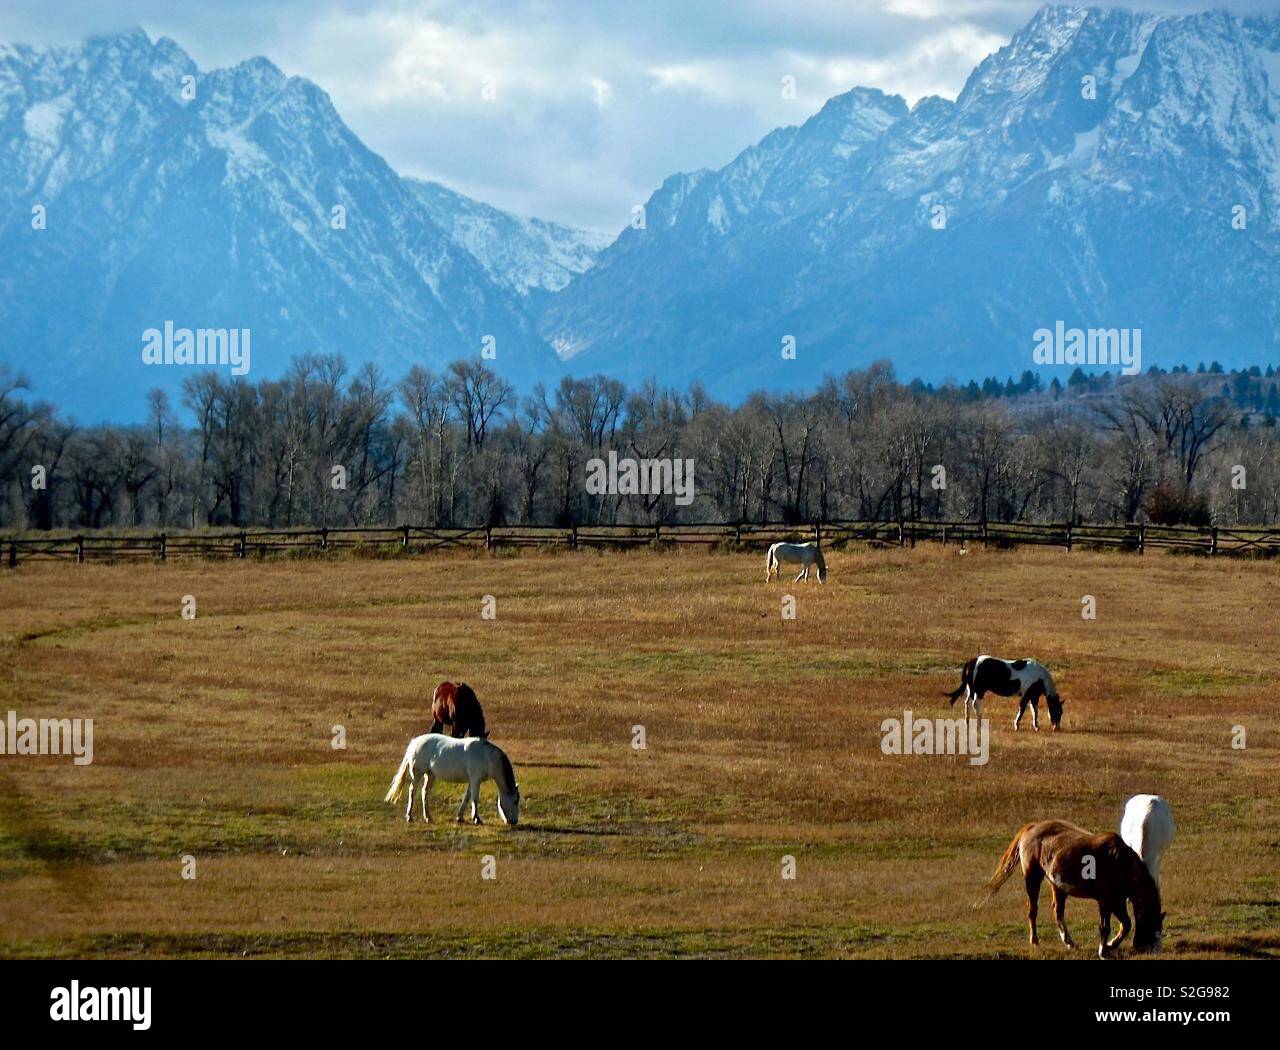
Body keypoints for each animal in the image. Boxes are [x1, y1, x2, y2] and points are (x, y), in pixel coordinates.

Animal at [385, 733, 519, 825]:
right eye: (515, 801)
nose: (514, 821)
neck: (486, 756)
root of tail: (414, 742)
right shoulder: (475, 779)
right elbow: (475, 799)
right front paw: (477, 819)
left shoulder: (472, 781)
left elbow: (467, 798)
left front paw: (460, 817)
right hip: (417, 773)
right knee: (412, 792)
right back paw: (409, 816)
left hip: (430, 775)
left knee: (424, 793)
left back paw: (428, 817)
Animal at [980, 819, 1163, 957]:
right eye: (1154, 929)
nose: (1152, 951)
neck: (1120, 863)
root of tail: (1032, 827)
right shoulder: (1106, 901)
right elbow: (1105, 927)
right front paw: (1104, 950)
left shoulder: (1117, 901)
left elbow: (1126, 924)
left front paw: (1111, 945)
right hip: (1032, 878)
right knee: (1032, 910)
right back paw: (1035, 941)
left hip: (1057, 886)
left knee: (1058, 911)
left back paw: (1069, 942)